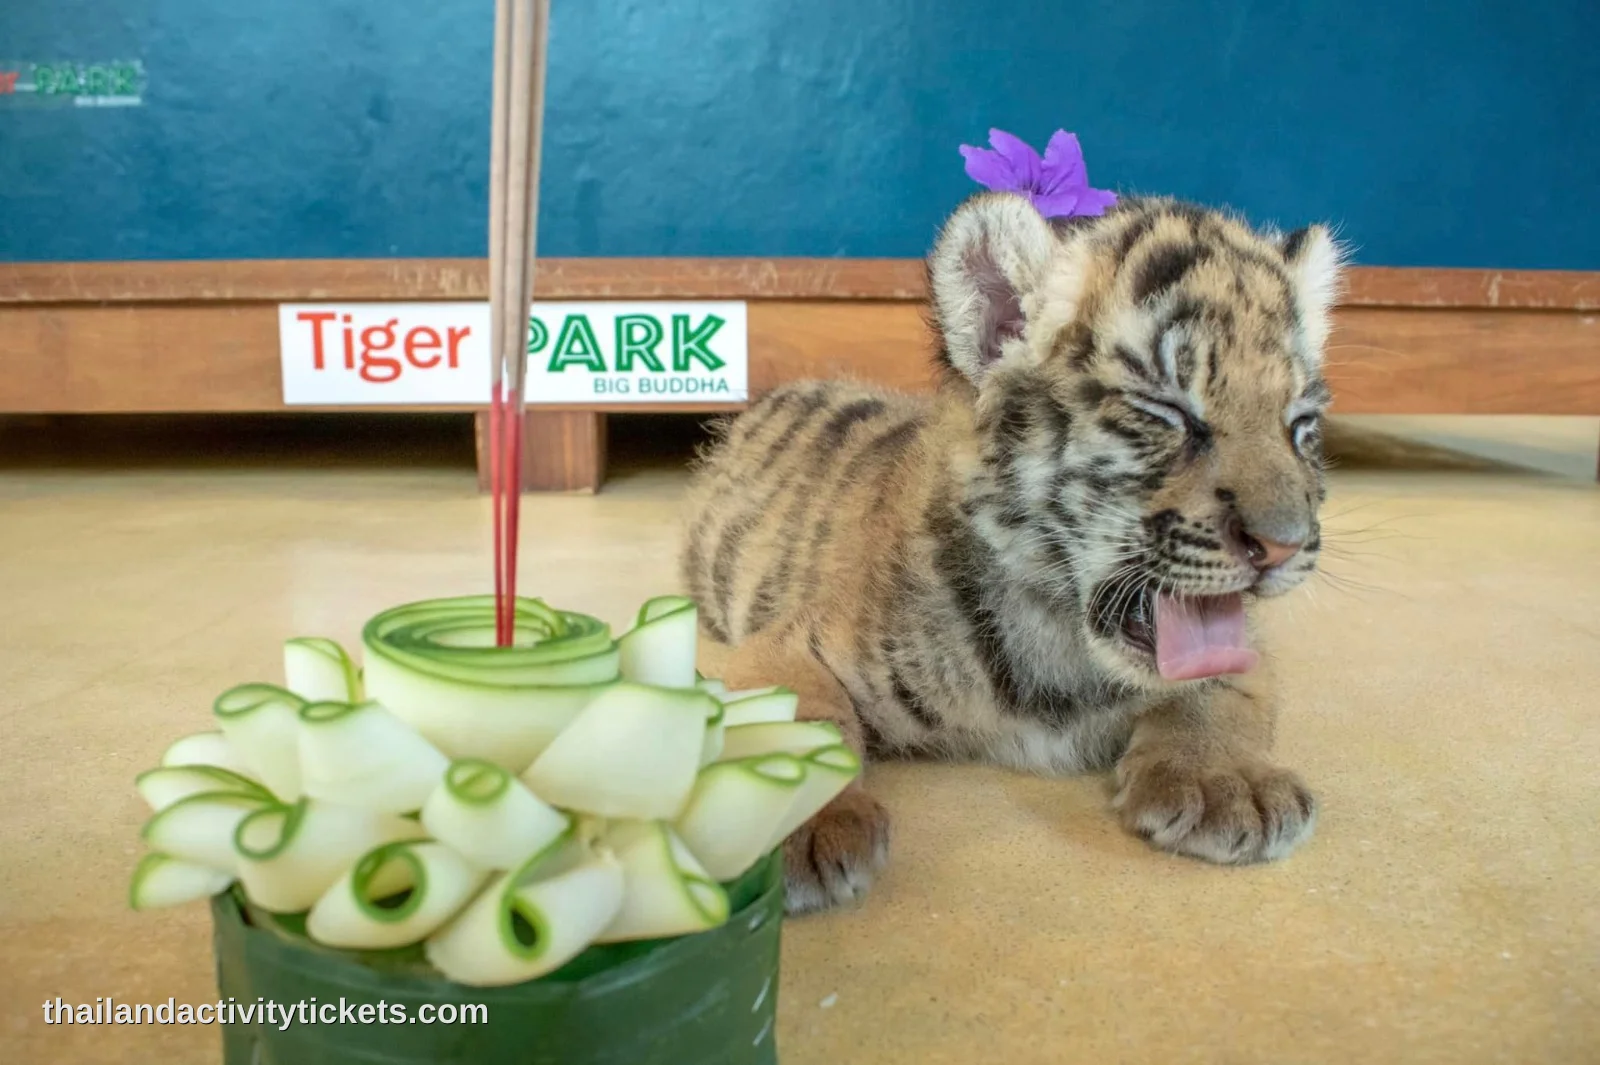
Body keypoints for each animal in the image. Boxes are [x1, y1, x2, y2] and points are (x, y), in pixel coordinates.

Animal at [681, 191, 1343, 914]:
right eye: (1165, 409)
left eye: (1300, 424)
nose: (1283, 545)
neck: (1063, 640)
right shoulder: (789, 645)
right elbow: (797, 719)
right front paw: (788, 821)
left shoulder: (1245, 652)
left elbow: (1219, 689)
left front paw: (1227, 783)